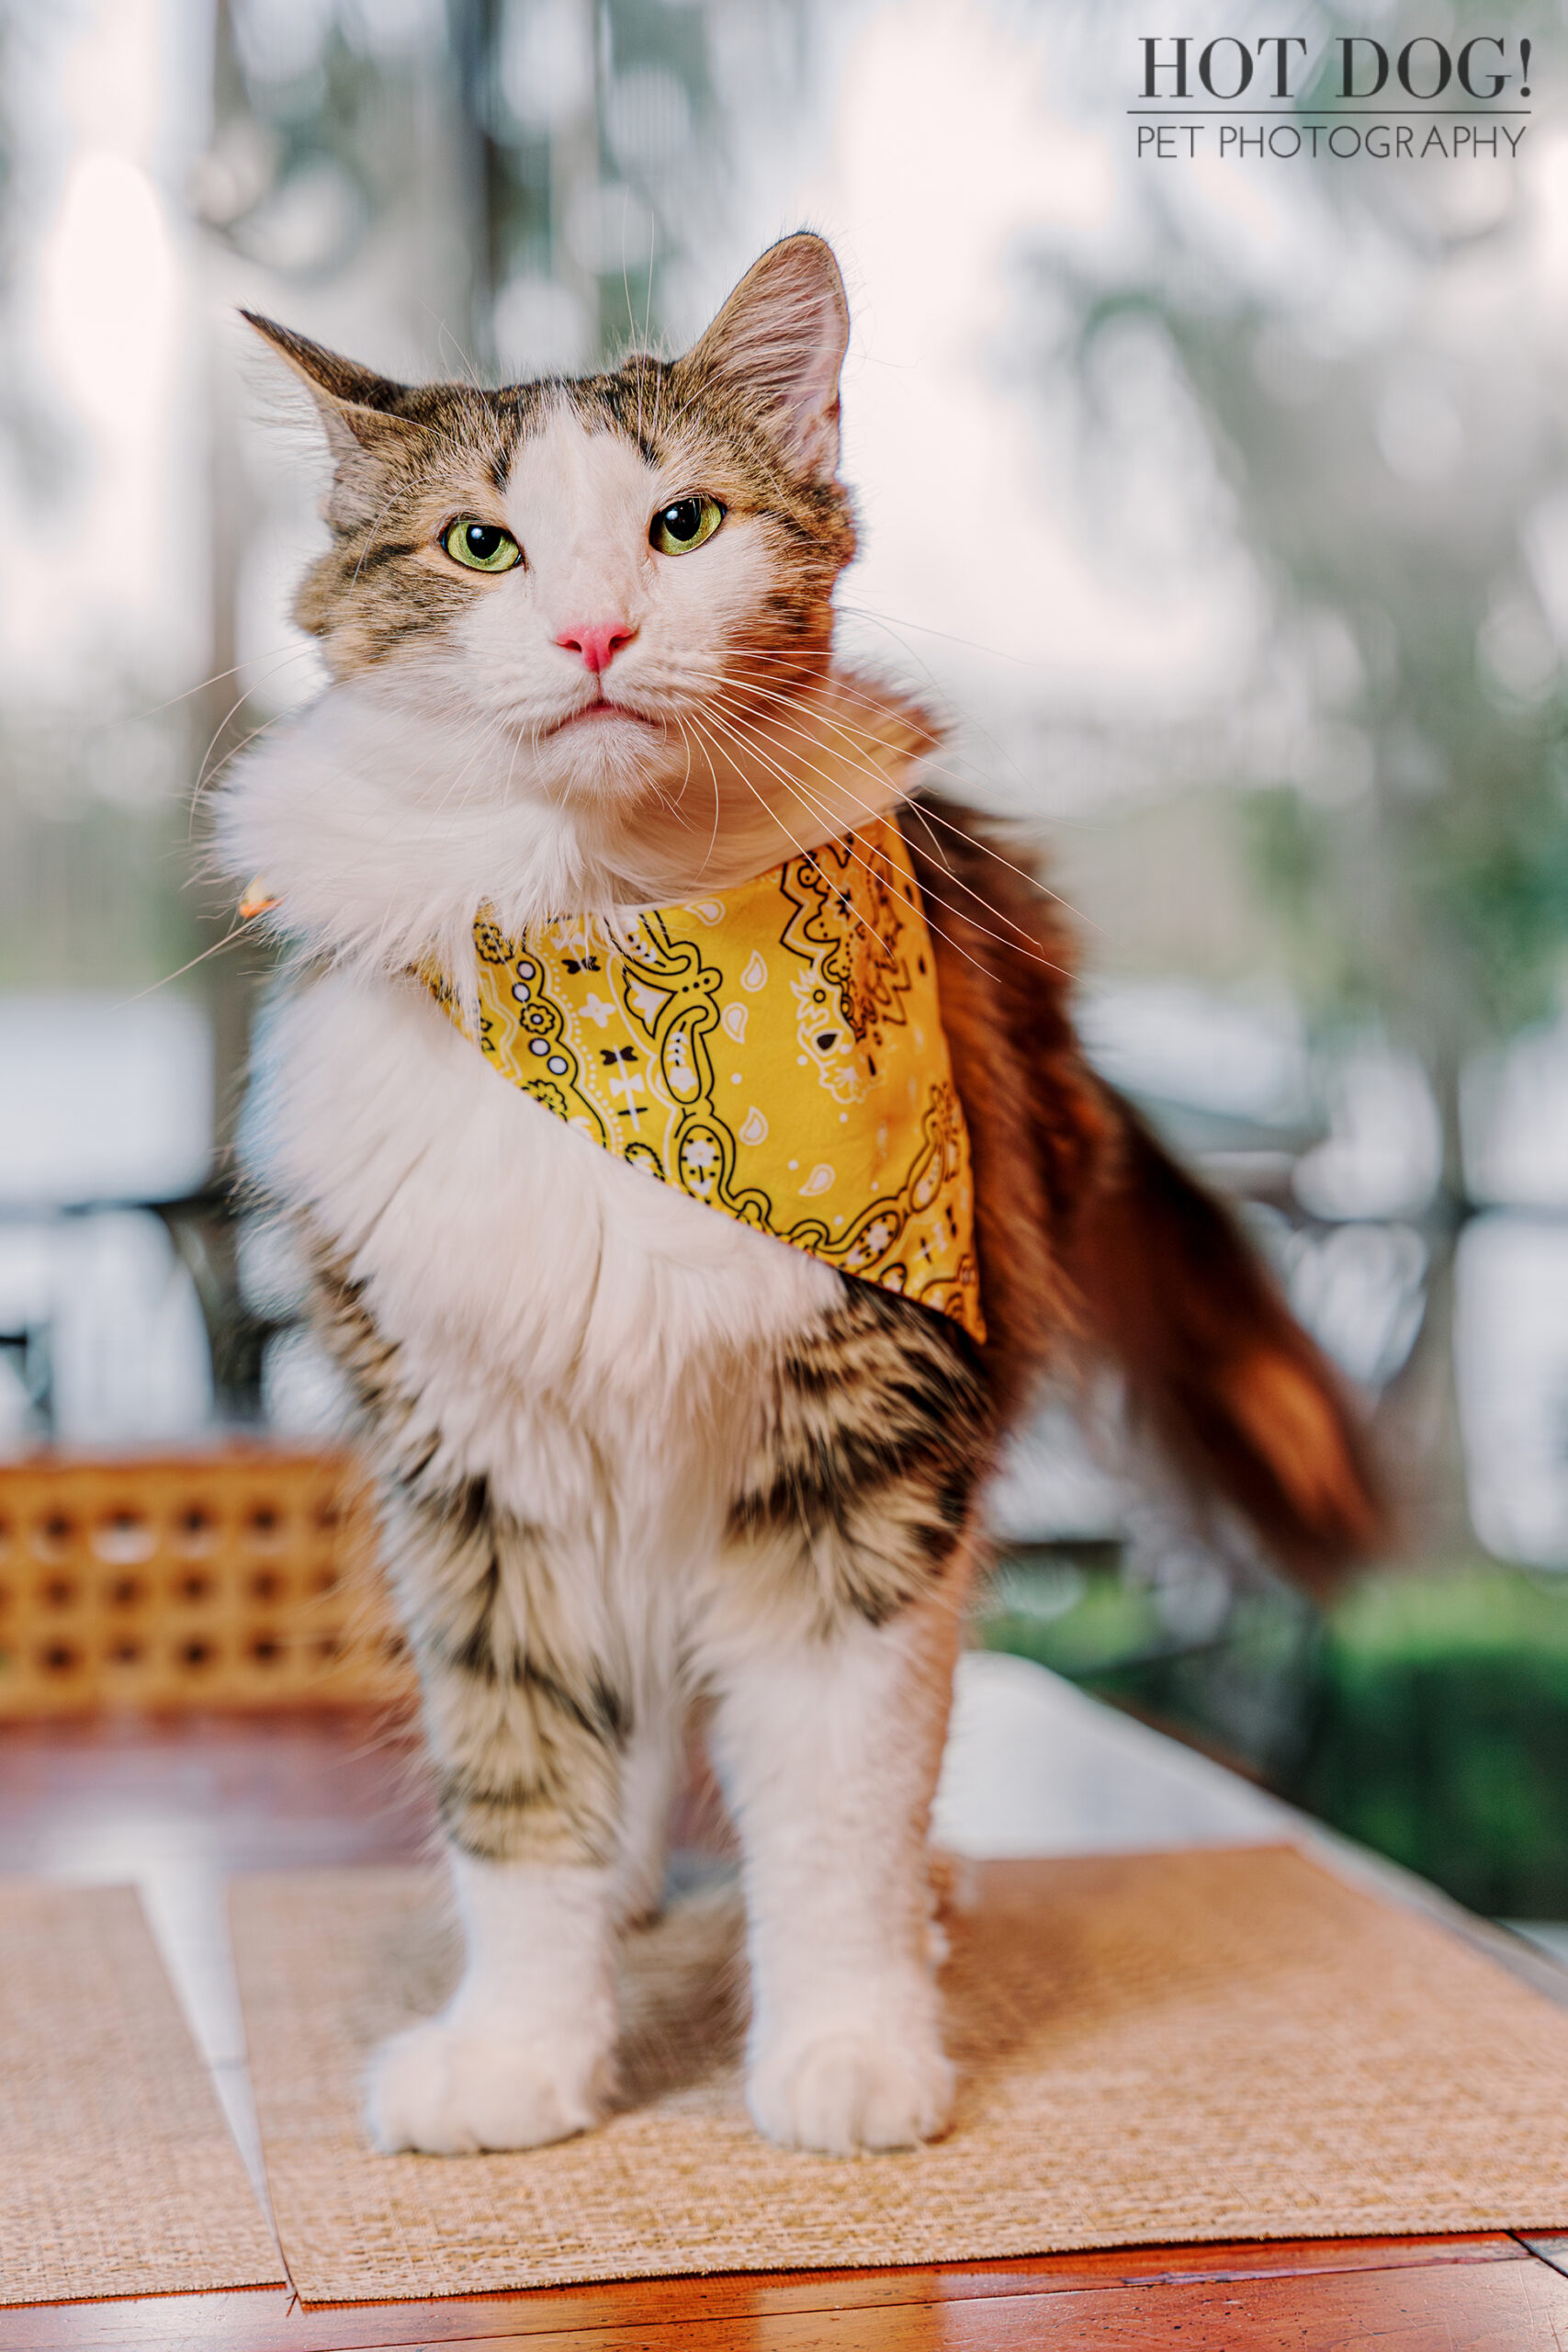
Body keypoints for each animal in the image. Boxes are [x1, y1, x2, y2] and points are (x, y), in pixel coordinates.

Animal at [215, 233, 1382, 2154]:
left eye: (681, 527)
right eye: (481, 545)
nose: (596, 632)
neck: (610, 967)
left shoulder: (863, 1453)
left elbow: (835, 1799)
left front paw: (846, 2050)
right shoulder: (484, 1459)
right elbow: (521, 1776)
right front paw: (523, 2057)